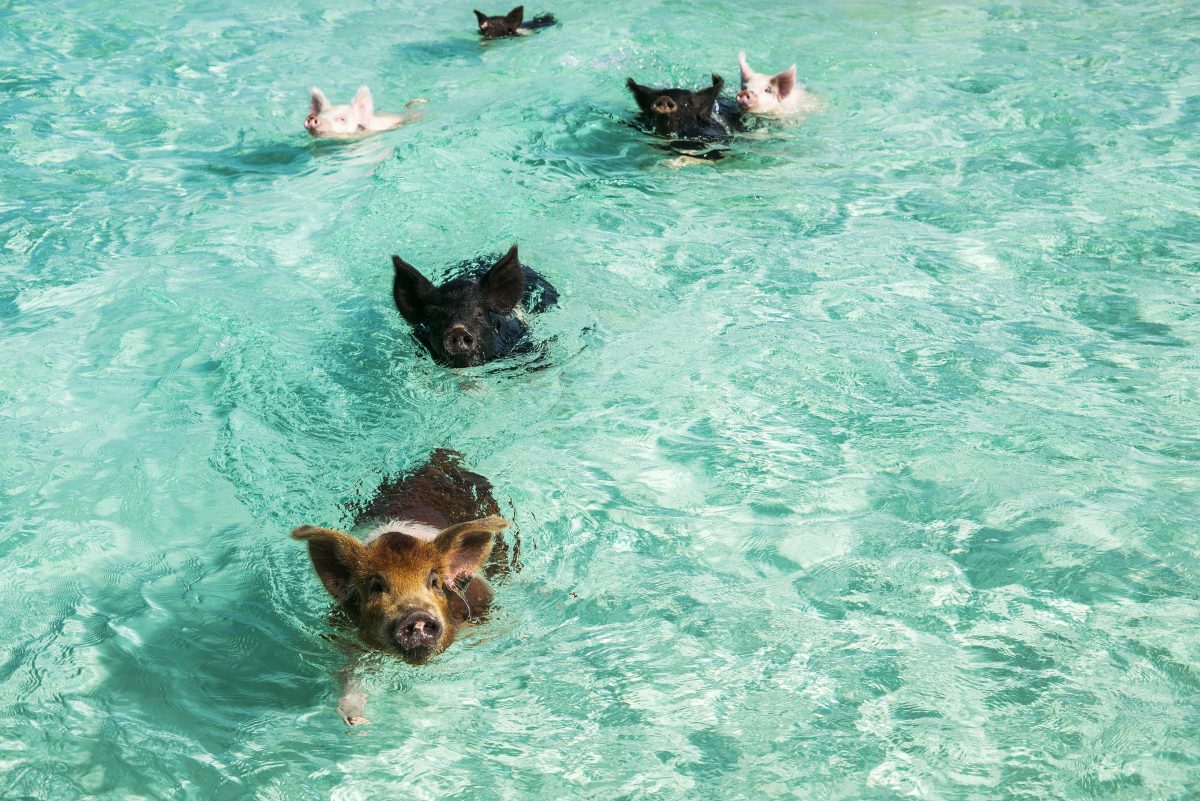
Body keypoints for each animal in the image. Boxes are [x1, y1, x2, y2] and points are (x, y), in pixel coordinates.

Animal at [296, 450, 516, 724]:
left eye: (434, 581)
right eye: (377, 586)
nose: (416, 615)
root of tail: (439, 460)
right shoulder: (346, 634)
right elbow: (351, 673)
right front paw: (356, 722)